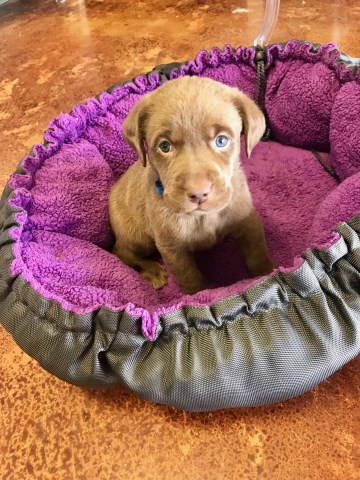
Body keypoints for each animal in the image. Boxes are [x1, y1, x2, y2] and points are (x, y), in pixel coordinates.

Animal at [108, 76, 274, 292]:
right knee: (121, 251)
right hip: (137, 236)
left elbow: (257, 253)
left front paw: (268, 273)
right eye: (164, 146)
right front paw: (204, 292)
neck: (202, 217)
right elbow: (189, 277)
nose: (199, 193)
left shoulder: (247, 219)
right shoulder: (171, 247)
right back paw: (152, 271)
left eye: (221, 141)